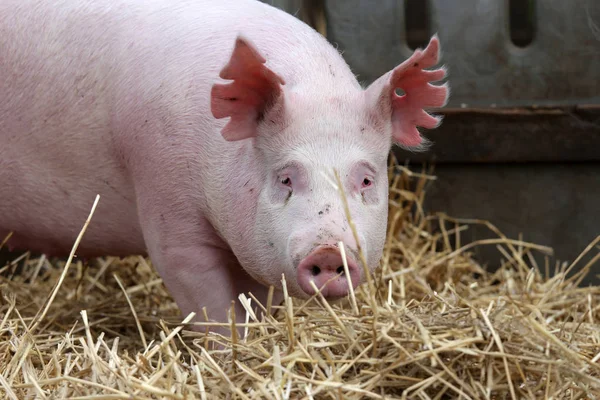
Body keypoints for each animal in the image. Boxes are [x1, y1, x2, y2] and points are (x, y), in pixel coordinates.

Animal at [0, 0, 448, 336]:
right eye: (286, 177)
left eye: (366, 179)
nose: (327, 249)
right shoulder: (168, 210)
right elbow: (209, 306)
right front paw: (228, 353)